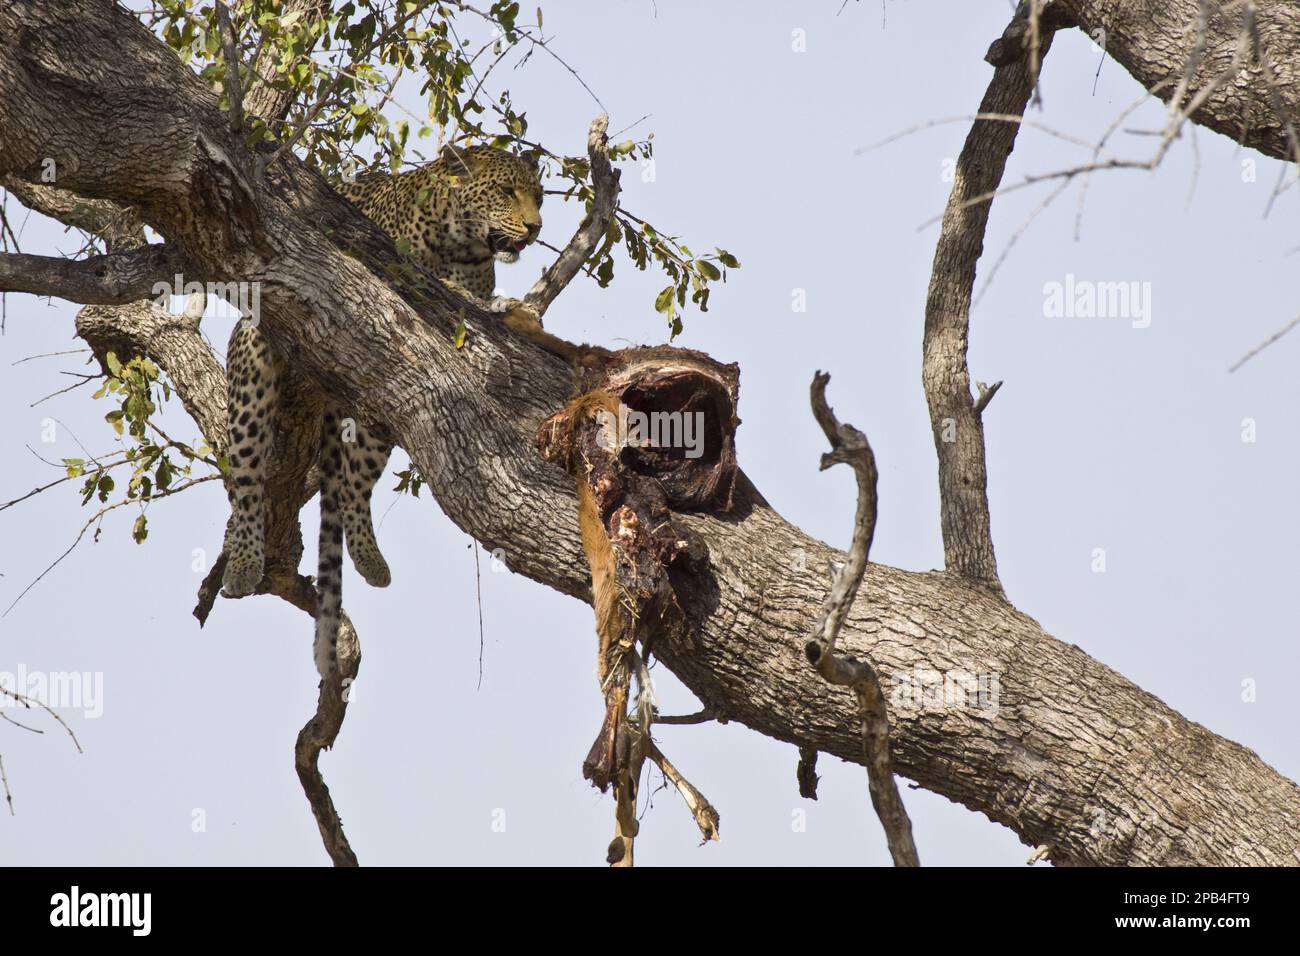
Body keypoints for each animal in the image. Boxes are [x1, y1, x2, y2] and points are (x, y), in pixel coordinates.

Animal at [220, 144, 544, 678]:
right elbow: (455, 293)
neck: (462, 246)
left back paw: (371, 560)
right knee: (247, 478)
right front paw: (505, 305)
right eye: (505, 191)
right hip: (254, 367)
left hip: (380, 397)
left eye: (538, 195)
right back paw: (244, 563)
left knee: (353, 487)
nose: (536, 227)